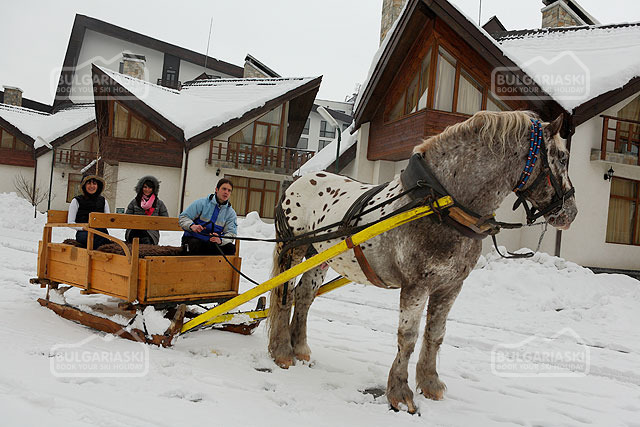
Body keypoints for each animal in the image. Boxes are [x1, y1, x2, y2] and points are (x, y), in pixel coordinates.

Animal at [268, 110, 576, 414]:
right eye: (562, 157)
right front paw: (400, 393)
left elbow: (435, 334)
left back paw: (300, 348)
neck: (440, 203)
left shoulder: (451, 286)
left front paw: (430, 383)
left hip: (318, 257)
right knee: (284, 295)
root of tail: (296, 182)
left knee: (304, 296)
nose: (571, 213)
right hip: (293, 249)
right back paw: (282, 351)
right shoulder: (417, 285)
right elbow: (408, 336)